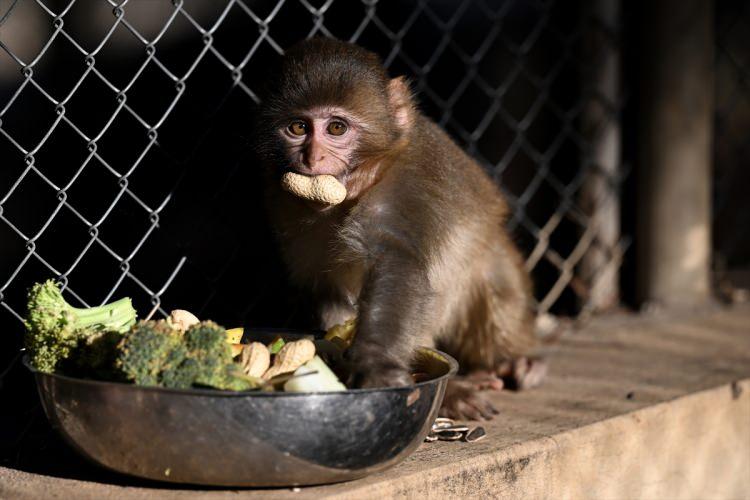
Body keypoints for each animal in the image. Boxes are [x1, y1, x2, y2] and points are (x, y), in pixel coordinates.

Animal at [258, 39, 548, 420]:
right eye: (298, 128)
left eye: (336, 128)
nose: (312, 158)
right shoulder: (282, 205)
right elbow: (325, 291)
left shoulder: (402, 189)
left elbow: (397, 264)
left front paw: (377, 365)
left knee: (495, 282)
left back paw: (512, 363)